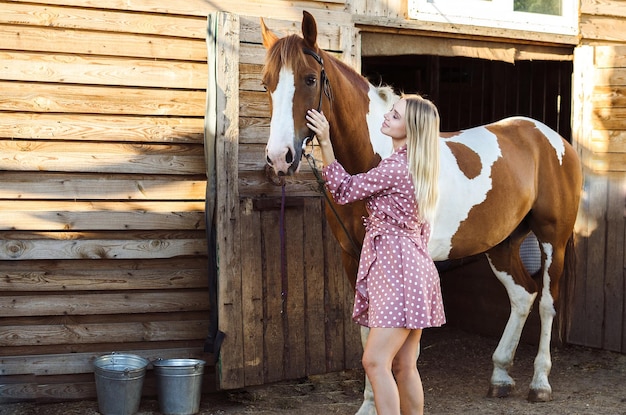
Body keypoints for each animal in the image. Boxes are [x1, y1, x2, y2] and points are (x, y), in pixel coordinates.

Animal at [258, 10, 580, 415]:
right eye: (266, 83)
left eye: (310, 79)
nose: (279, 158)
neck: (374, 157)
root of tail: (550, 139)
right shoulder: (354, 258)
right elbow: (368, 328)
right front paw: (370, 403)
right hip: (502, 244)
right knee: (523, 295)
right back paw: (500, 376)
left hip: (554, 240)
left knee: (548, 303)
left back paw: (539, 382)